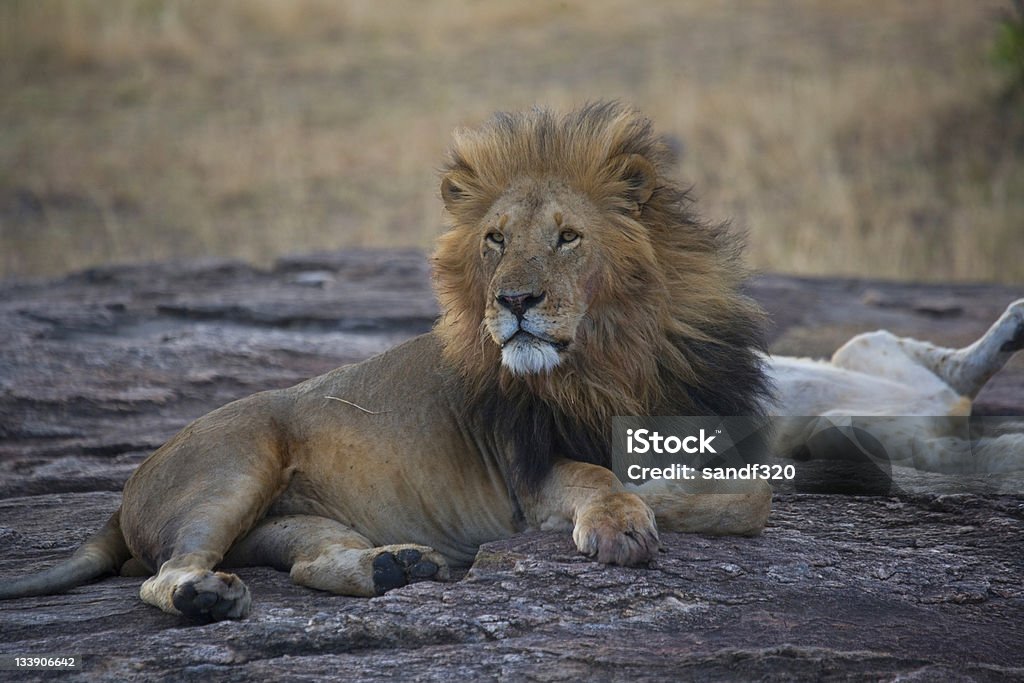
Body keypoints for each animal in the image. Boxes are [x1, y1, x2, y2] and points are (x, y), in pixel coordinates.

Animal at [4, 101, 1019, 618]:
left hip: (293, 521)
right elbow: (601, 481)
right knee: (163, 575)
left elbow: (745, 488)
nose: (515, 301)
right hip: (239, 457)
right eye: (494, 240)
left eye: (567, 236)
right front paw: (621, 519)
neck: (614, 358)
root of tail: (123, 494)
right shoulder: (529, 472)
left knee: (303, 561)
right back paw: (210, 596)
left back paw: (395, 567)